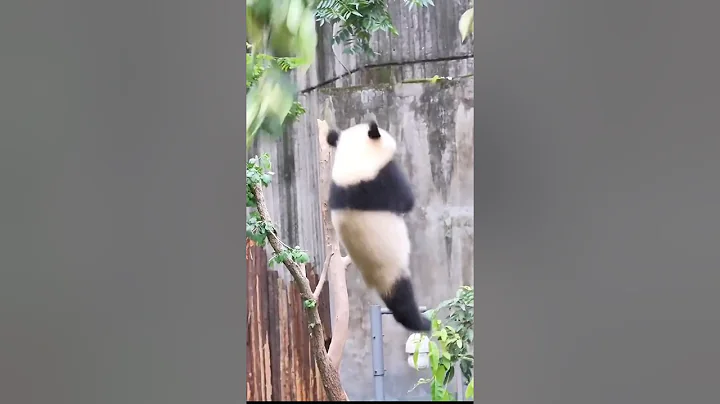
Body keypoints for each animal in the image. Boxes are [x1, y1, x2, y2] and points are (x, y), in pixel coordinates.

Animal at [326, 120, 431, 332]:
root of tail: (371, 282)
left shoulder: (336, 190)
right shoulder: (379, 182)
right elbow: (406, 199)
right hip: (390, 268)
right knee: (402, 299)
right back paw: (422, 323)